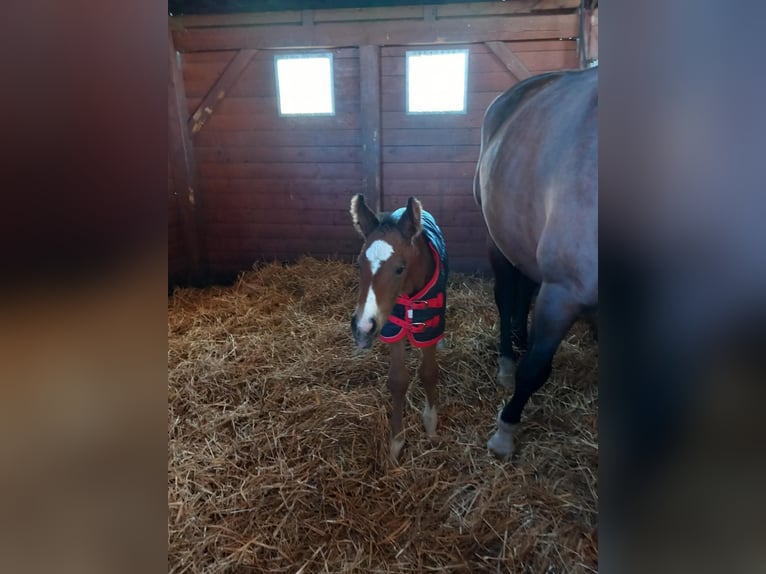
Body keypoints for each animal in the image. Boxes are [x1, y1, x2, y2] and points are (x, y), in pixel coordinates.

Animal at [349, 194, 449, 461]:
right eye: (359, 264)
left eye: (400, 268)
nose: (362, 327)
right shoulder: (392, 327)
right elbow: (397, 380)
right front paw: (396, 441)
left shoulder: (428, 327)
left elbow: (428, 372)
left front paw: (431, 425)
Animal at [473, 67, 598, 459]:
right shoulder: (563, 292)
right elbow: (534, 370)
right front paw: (504, 431)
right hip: (496, 239)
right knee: (504, 298)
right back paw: (507, 360)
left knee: (525, 289)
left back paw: (520, 338)